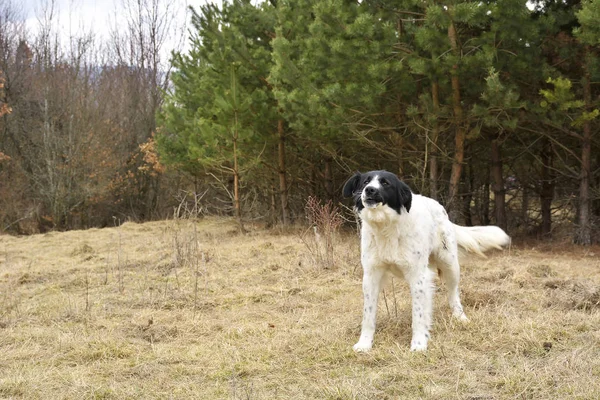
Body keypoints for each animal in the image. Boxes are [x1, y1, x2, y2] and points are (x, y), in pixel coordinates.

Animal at [344, 170, 508, 352]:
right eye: (365, 182)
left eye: (386, 183)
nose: (370, 190)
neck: (386, 226)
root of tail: (440, 208)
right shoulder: (371, 276)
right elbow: (368, 314)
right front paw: (364, 344)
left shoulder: (418, 276)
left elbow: (418, 314)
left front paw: (419, 343)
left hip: (450, 265)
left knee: (453, 293)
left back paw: (460, 317)